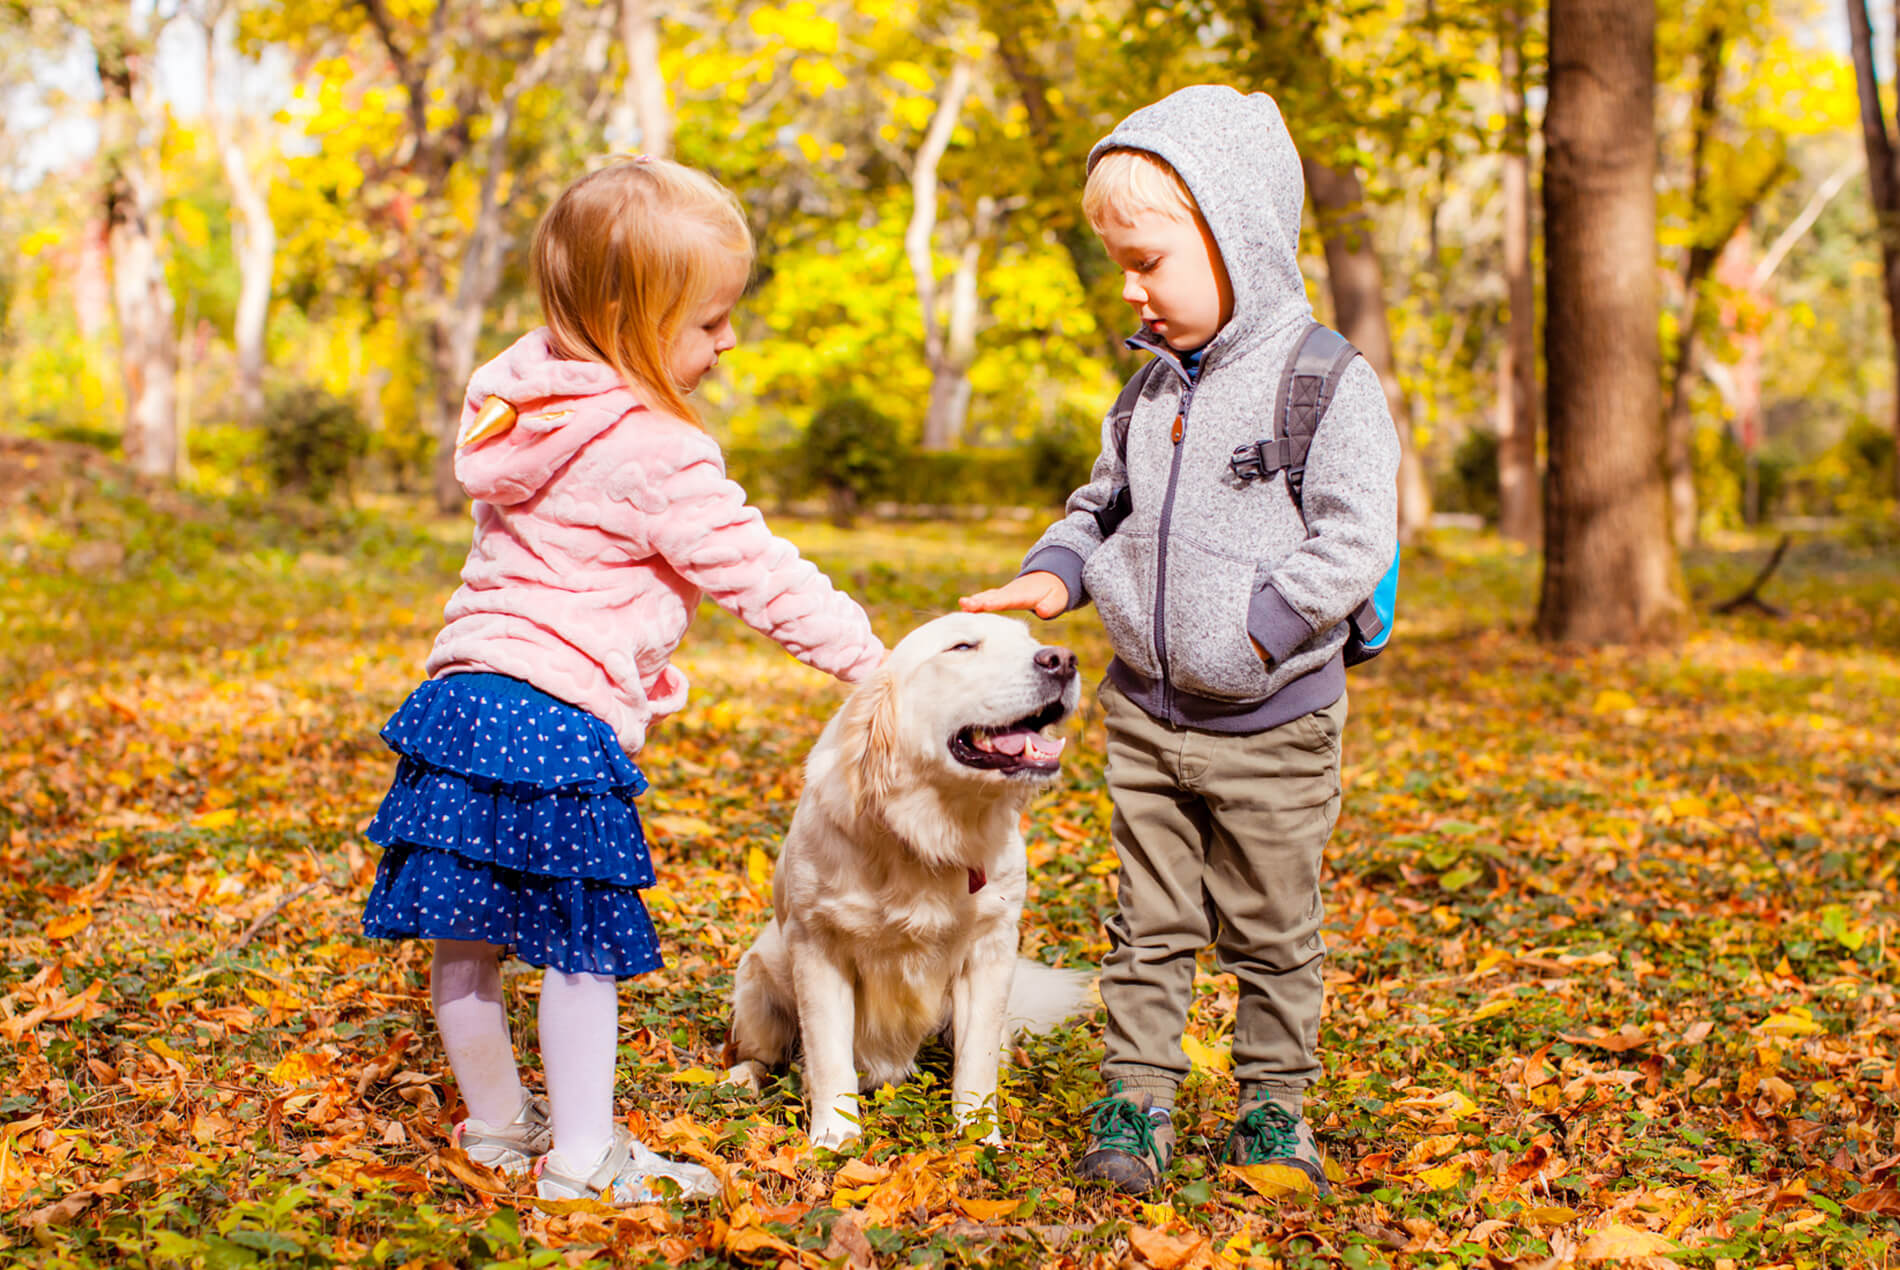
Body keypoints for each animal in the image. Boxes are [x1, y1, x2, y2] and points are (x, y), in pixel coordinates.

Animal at [718, 608, 1094, 1148]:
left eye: (1031, 640)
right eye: (962, 647)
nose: (1062, 660)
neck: (928, 832)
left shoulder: (990, 950)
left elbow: (976, 1064)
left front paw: (979, 1139)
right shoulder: (817, 947)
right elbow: (829, 1057)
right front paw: (835, 1136)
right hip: (756, 979)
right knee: (763, 1056)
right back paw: (741, 1079)